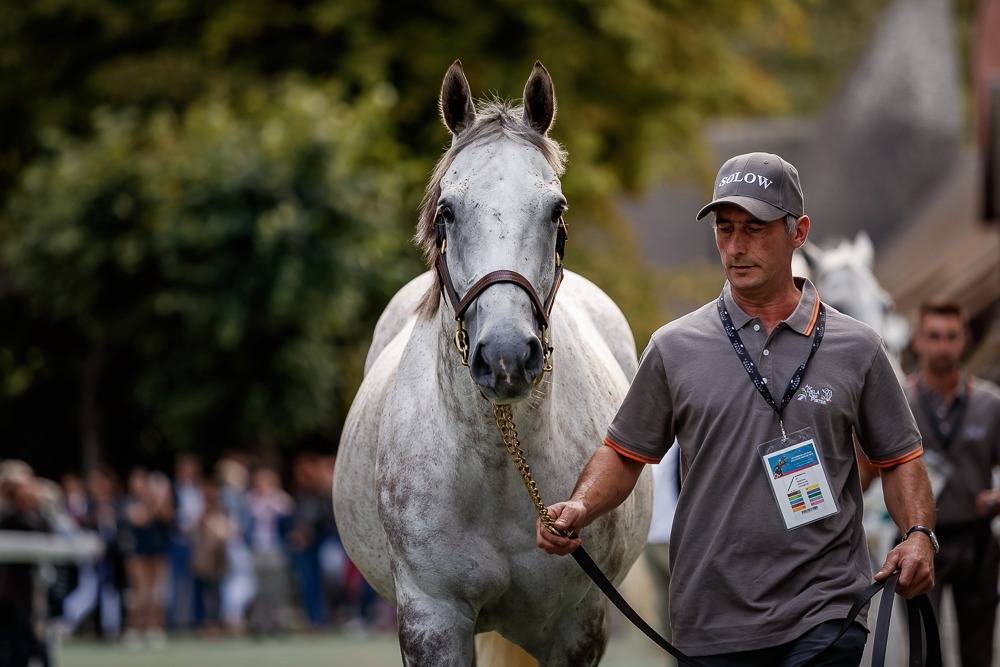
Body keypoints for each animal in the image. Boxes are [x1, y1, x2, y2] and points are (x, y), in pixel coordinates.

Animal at [332, 60, 652, 664]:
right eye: (447, 211)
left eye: (556, 211)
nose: (506, 358)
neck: (501, 467)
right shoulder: (432, 619)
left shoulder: (579, 625)